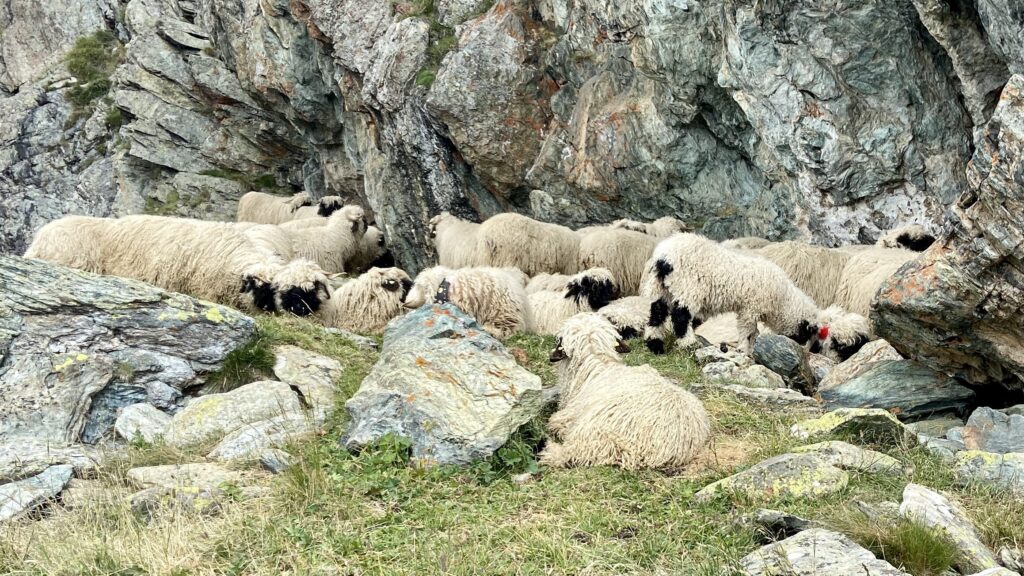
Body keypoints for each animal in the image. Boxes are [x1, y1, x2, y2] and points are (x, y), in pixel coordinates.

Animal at [542, 313, 711, 470]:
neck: (598, 364)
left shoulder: (567, 416)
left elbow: (555, 423)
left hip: (595, 432)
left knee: (571, 454)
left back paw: (549, 451)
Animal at [641, 233, 870, 358]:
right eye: (806, 333)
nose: (803, 348)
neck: (782, 298)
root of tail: (664, 258)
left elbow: (753, 333)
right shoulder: (750, 308)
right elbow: (748, 331)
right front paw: (745, 349)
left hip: (660, 288)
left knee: (656, 314)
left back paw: (655, 345)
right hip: (688, 288)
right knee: (680, 317)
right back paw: (688, 343)